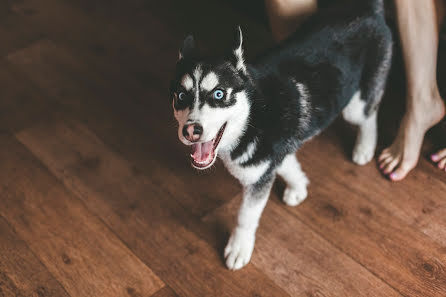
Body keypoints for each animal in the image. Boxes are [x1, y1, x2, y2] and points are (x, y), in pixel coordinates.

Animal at [169, 0, 392, 270]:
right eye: (181, 96)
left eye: (219, 94)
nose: (191, 131)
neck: (253, 115)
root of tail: (367, 9)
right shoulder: (270, 157)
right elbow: (287, 164)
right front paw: (299, 185)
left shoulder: (257, 179)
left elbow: (246, 215)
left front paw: (239, 246)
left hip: (354, 106)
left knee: (369, 116)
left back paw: (365, 147)